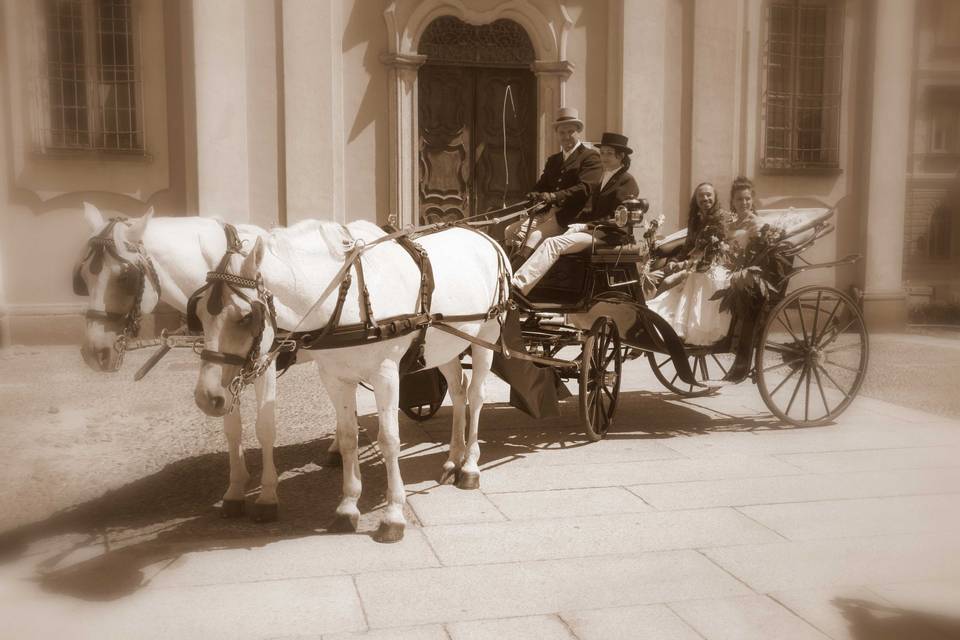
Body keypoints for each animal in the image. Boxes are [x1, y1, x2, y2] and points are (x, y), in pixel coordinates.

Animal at [76, 204, 284, 520]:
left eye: (125, 277)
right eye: (84, 276)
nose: (93, 352)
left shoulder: (265, 362)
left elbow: (264, 427)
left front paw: (269, 494)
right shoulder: (224, 369)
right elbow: (232, 428)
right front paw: (236, 488)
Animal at [193, 220, 510, 540]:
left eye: (245, 317)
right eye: (198, 314)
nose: (206, 397)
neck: (346, 300)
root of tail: (483, 235)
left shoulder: (386, 375)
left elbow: (389, 440)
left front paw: (393, 514)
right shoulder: (335, 378)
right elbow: (347, 439)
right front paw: (347, 507)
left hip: (487, 336)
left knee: (476, 396)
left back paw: (469, 466)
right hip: (447, 345)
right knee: (458, 392)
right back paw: (453, 459)